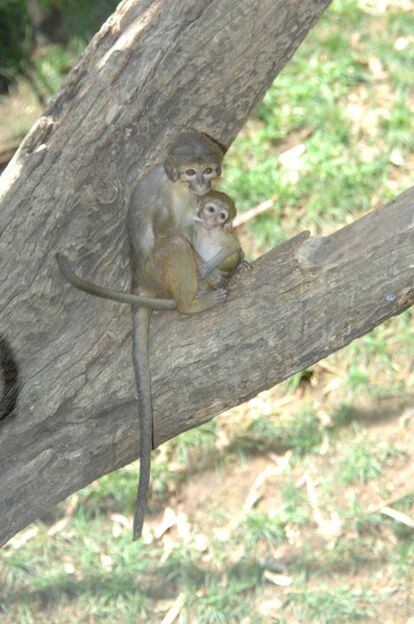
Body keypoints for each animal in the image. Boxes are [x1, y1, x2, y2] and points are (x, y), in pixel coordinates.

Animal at [56, 130, 225, 536]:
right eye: (190, 171)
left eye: (209, 169)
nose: (202, 183)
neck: (180, 189)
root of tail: (139, 279)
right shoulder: (175, 202)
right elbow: (176, 234)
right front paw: (209, 273)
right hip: (158, 271)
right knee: (176, 243)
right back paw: (191, 303)